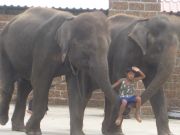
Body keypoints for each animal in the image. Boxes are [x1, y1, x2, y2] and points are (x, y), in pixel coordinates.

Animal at [0, 7, 118, 135]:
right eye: (87, 49)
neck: (72, 20)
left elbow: (75, 89)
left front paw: (78, 133)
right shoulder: (44, 48)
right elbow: (40, 81)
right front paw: (32, 131)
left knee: (25, 87)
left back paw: (19, 128)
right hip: (4, 50)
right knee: (9, 85)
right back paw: (3, 121)